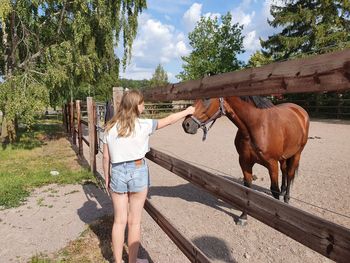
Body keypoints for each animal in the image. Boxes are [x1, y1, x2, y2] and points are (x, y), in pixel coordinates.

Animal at [183, 96, 308, 225]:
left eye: (207, 98)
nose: (186, 124)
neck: (257, 126)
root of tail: (299, 110)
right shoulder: (244, 162)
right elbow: (247, 189)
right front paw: (243, 216)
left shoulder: (272, 164)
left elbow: (274, 190)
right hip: (284, 157)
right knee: (284, 171)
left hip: (297, 154)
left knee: (290, 174)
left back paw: (286, 199)